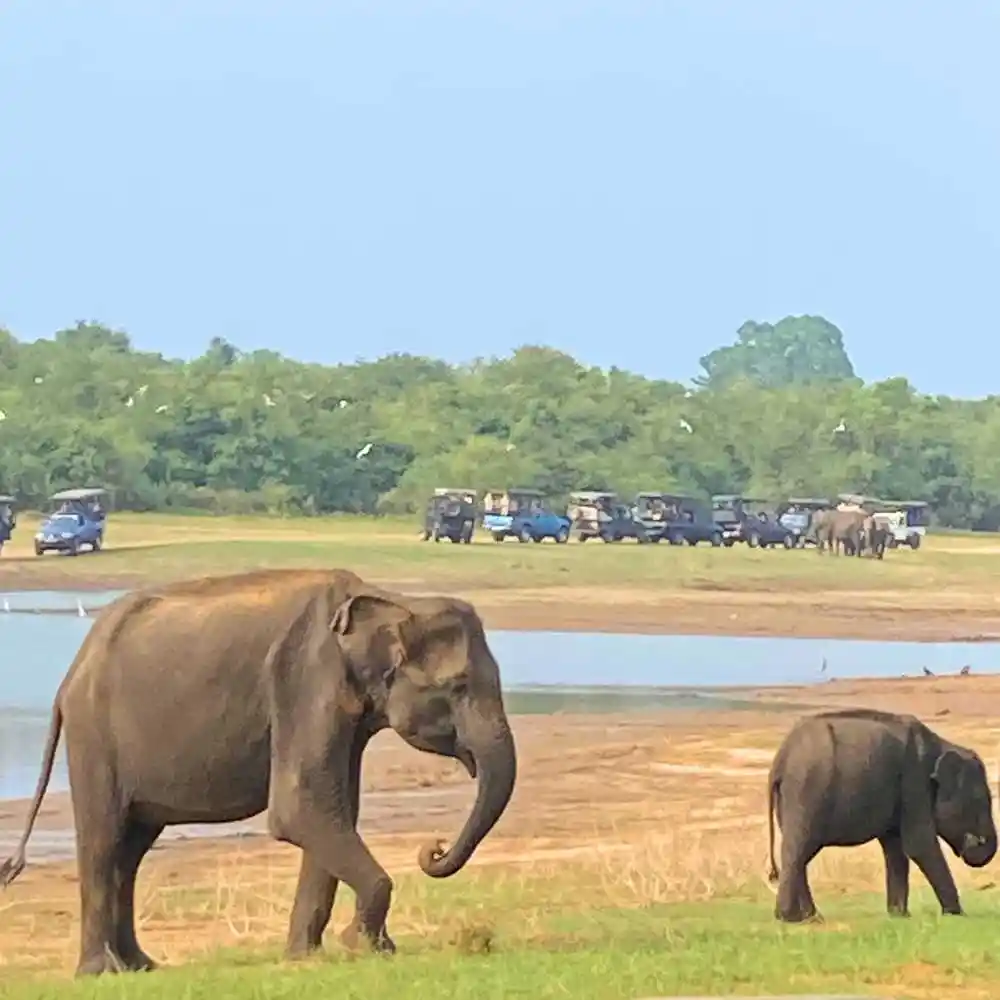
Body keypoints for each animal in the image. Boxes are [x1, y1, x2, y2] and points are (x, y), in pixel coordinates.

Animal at [0, 568, 517, 977]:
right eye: (459, 687)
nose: (434, 847)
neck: (390, 598)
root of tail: (69, 678)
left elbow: (334, 810)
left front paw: (308, 957)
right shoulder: (305, 680)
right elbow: (301, 807)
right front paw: (365, 947)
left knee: (131, 849)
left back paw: (139, 966)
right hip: (93, 737)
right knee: (104, 840)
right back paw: (100, 973)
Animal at [767, 708, 996, 923]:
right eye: (980, 800)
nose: (976, 841)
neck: (942, 745)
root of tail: (780, 758)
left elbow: (896, 848)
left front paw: (900, 915)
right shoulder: (914, 781)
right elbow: (919, 845)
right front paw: (958, 915)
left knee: (801, 851)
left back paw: (809, 917)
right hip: (806, 790)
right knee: (798, 848)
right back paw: (791, 918)